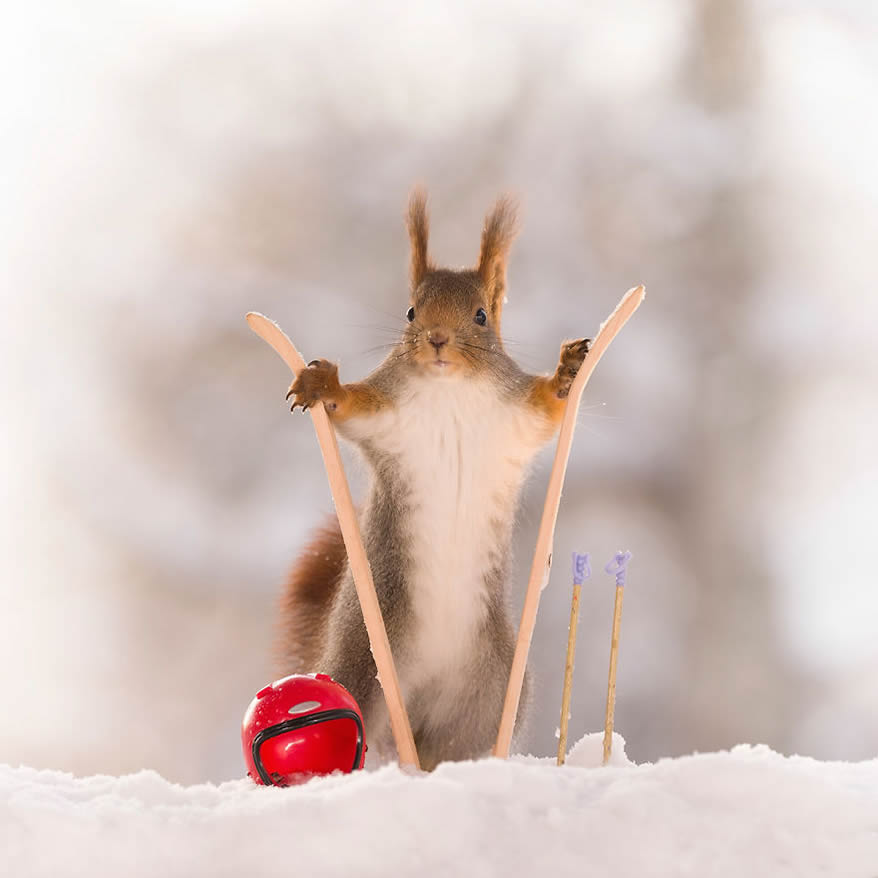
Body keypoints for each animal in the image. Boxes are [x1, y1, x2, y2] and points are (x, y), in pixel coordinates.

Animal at [276, 192, 592, 768]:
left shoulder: (519, 416)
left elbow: (552, 406)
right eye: (410, 311)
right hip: (365, 665)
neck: (451, 389)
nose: (437, 339)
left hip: (490, 693)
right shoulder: (383, 414)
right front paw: (320, 383)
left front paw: (568, 370)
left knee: (452, 745)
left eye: (482, 315)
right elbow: (346, 405)